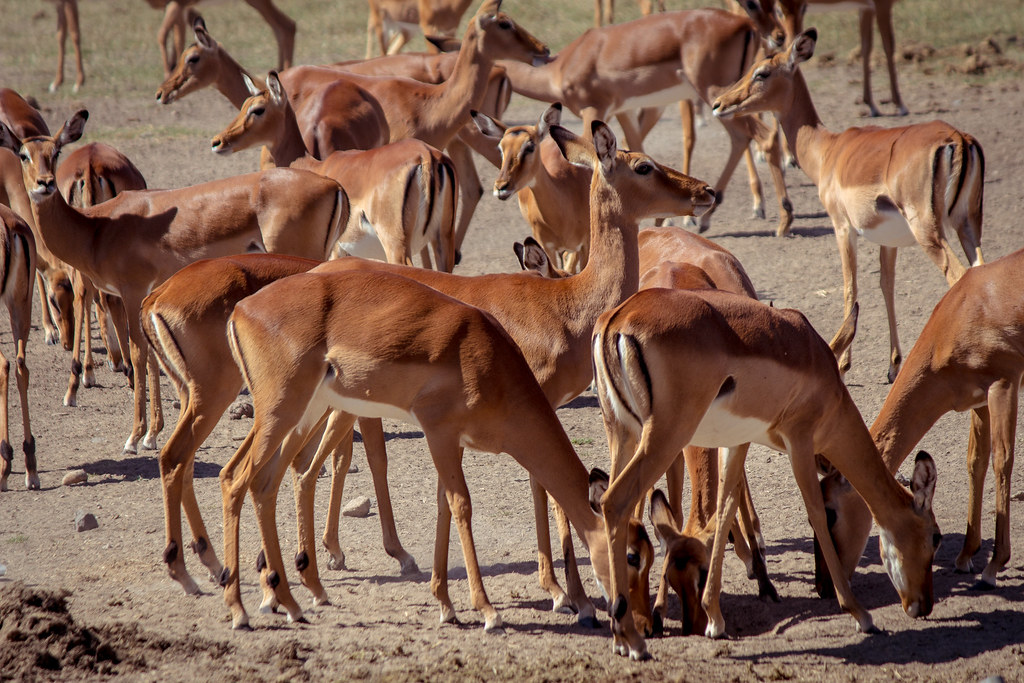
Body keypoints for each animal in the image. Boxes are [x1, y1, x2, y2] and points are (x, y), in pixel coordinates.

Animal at [712, 29, 983, 382]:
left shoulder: (842, 227)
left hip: (929, 231)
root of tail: (957, 138)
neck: (828, 149)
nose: (719, 104)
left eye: (762, 72)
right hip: (968, 225)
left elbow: (849, 289)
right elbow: (885, 285)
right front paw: (893, 365)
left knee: (958, 277)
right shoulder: (888, 239)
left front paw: (843, 363)